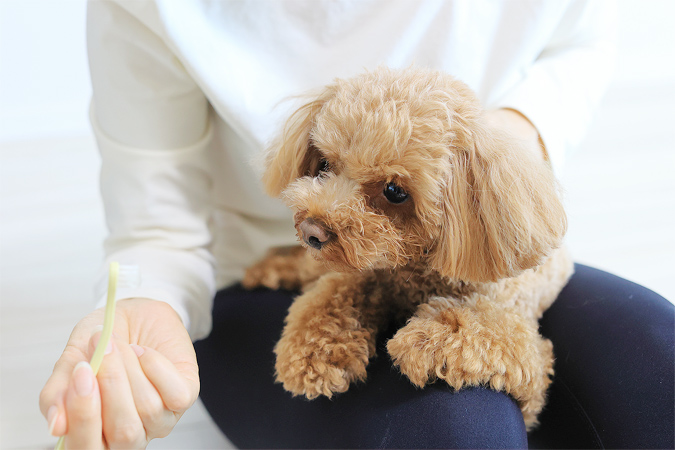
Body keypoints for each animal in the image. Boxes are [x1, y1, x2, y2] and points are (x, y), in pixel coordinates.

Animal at [243, 67, 572, 428]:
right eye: (325, 164)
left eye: (394, 191)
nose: (311, 231)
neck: (414, 272)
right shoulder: (371, 270)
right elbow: (334, 292)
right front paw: (313, 351)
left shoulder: (532, 361)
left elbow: (490, 327)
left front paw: (427, 340)